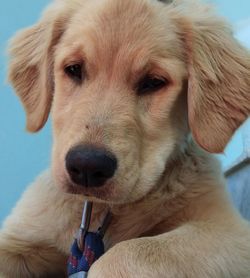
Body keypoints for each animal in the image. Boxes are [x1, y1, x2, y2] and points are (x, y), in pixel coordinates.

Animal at [0, 0, 250, 276]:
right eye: (74, 69)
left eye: (154, 81)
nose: (87, 166)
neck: (102, 211)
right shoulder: (21, 235)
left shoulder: (230, 229)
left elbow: (128, 252)